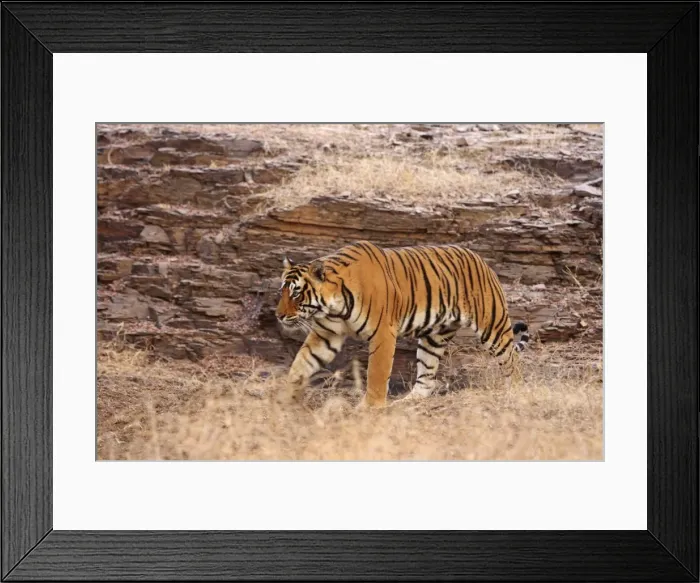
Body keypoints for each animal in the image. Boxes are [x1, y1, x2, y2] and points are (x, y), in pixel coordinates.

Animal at [274, 240, 529, 408]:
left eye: (296, 293)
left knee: (512, 362)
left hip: (493, 326)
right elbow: (301, 364)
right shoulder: (327, 334)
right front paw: (284, 398)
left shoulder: (383, 334)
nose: (278, 316)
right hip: (433, 338)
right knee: (426, 378)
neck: (335, 307)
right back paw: (408, 402)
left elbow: (377, 373)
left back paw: (516, 394)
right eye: (282, 292)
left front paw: (370, 408)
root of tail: (479, 258)